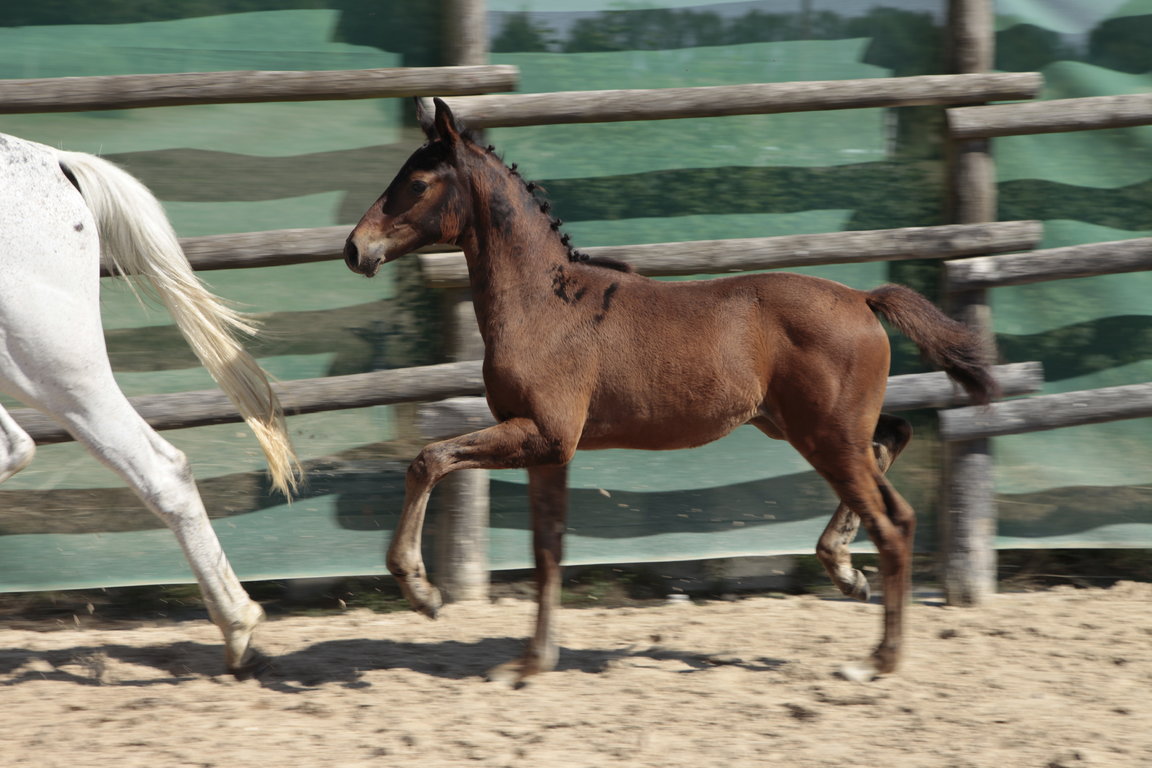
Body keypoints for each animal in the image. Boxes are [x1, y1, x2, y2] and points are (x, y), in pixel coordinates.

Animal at [340, 97, 999, 686]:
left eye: (418, 182)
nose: (354, 249)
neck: (544, 304)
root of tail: (863, 299)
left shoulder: (544, 436)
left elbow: (429, 459)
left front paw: (422, 591)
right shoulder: (549, 451)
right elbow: (547, 551)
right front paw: (530, 664)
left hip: (826, 436)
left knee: (895, 523)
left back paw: (875, 660)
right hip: (813, 428)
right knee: (896, 449)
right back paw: (844, 571)